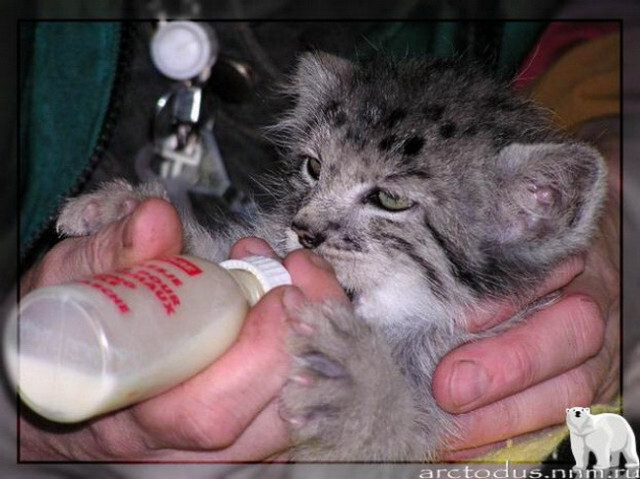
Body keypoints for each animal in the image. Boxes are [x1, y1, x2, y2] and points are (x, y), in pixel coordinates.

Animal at [58, 54, 604, 464]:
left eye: (390, 199)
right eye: (313, 167)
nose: (303, 231)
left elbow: (395, 435)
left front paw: (360, 384)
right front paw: (126, 208)